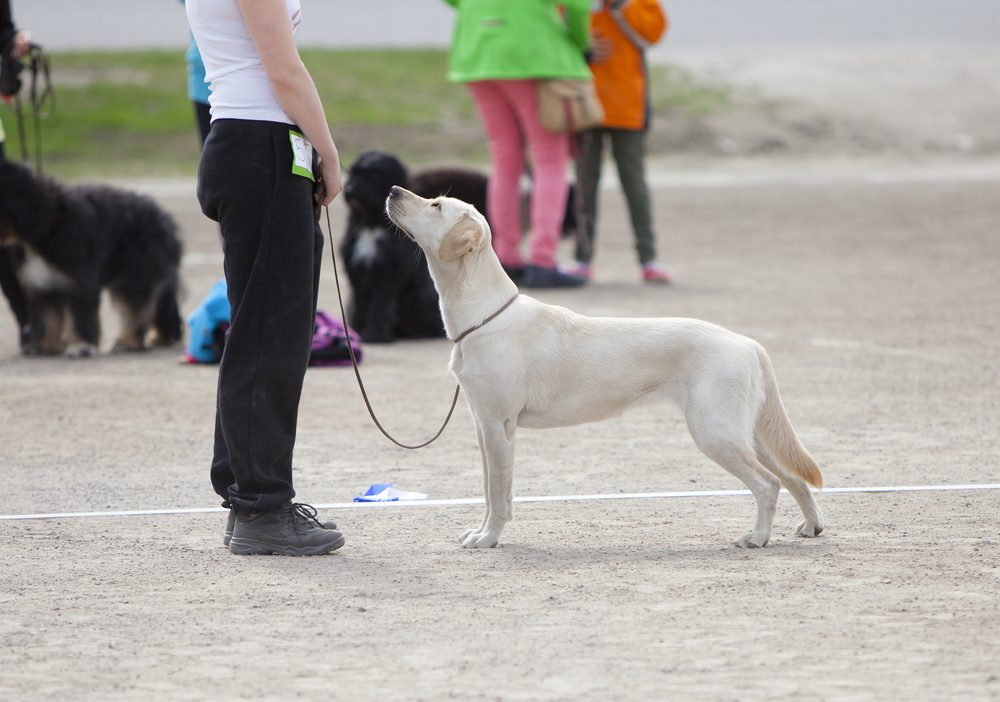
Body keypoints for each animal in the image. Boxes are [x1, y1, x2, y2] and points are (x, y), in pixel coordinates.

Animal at [0, 160, 184, 358]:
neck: (47, 223)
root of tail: (165, 219)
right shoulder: (42, 285)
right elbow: (47, 317)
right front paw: (47, 346)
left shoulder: (78, 280)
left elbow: (81, 315)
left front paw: (80, 346)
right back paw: (160, 338)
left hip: (138, 270)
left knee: (135, 306)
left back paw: (127, 342)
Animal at [342, 152, 580, 346]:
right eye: (353, 173)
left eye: (436, 205)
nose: (393, 190)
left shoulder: (390, 275)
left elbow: (380, 304)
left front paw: (374, 335)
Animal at [386, 190, 824, 552]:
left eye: (436, 205)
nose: (392, 190)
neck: (485, 315)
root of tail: (747, 343)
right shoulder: (483, 425)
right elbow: (488, 491)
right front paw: (479, 532)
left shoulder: (499, 426)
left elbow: (498, 493)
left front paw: (489, 538)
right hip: (749, 433)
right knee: (793, 478)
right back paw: (811, 527)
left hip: (715, 432)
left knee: (768, 484)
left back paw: (758, 537)